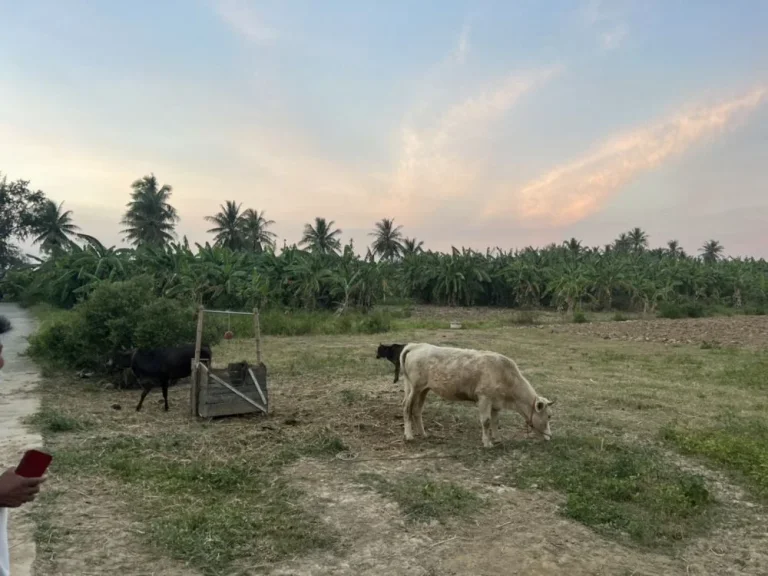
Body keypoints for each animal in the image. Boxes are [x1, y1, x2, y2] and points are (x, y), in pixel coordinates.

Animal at [400, 342, 556, 450]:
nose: (550, 437)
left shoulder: (496, 402)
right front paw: (487, 443)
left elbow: (495, 422)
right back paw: (409, 435)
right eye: (548, 416)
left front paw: (497, 439)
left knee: (417, 410)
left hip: (422, 390)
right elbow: (486, 421)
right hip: (414, 388)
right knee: (407, 408)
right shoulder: (484, 398)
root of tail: (416, 345)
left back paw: (423, 433)